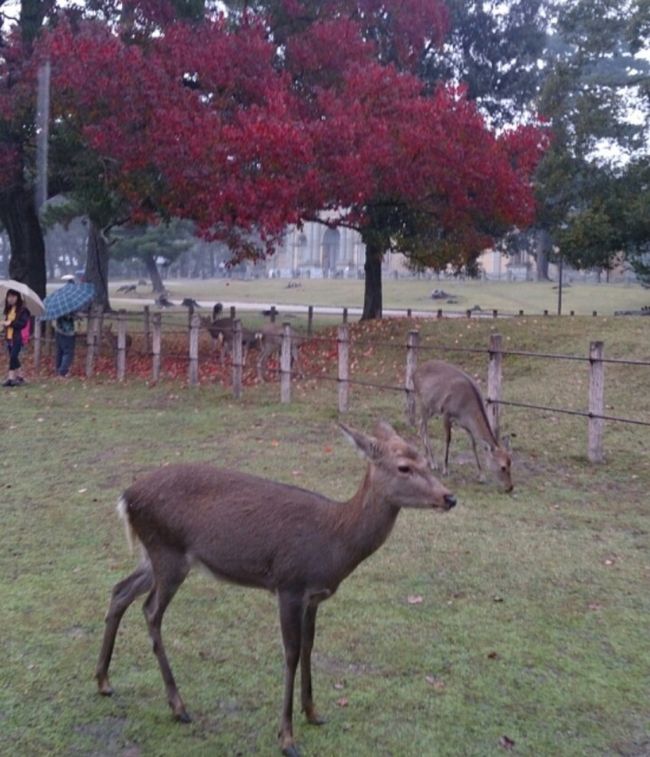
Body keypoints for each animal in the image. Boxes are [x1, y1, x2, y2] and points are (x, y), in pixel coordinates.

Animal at [95, 421, 456, 757]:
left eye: (426, 461)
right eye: (404, 467)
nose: (449, 497)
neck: (335, 544)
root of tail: (126, 498)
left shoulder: (314, 596)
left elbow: (309, 647)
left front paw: (313, 712)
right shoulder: (289, 584)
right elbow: (291, 654)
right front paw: (287, 738)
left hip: (154, 557)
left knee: (120, 591)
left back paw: (104, 682)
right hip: (168, 553)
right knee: (151, 611)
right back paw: (178, 706)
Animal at [409, 359, 513, 492]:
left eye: (511, 463)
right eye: (503, 467)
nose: (510, 487)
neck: (466, 411)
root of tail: (414, 373)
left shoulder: (467, 426)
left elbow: (473, 445)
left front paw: (481, 476)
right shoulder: (446, 413)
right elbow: (448, 439)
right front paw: (445, 469)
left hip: (432, 408)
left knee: (420, 424)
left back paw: (428, 459)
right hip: (423, 400)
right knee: (424, 428)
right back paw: (433, 463)